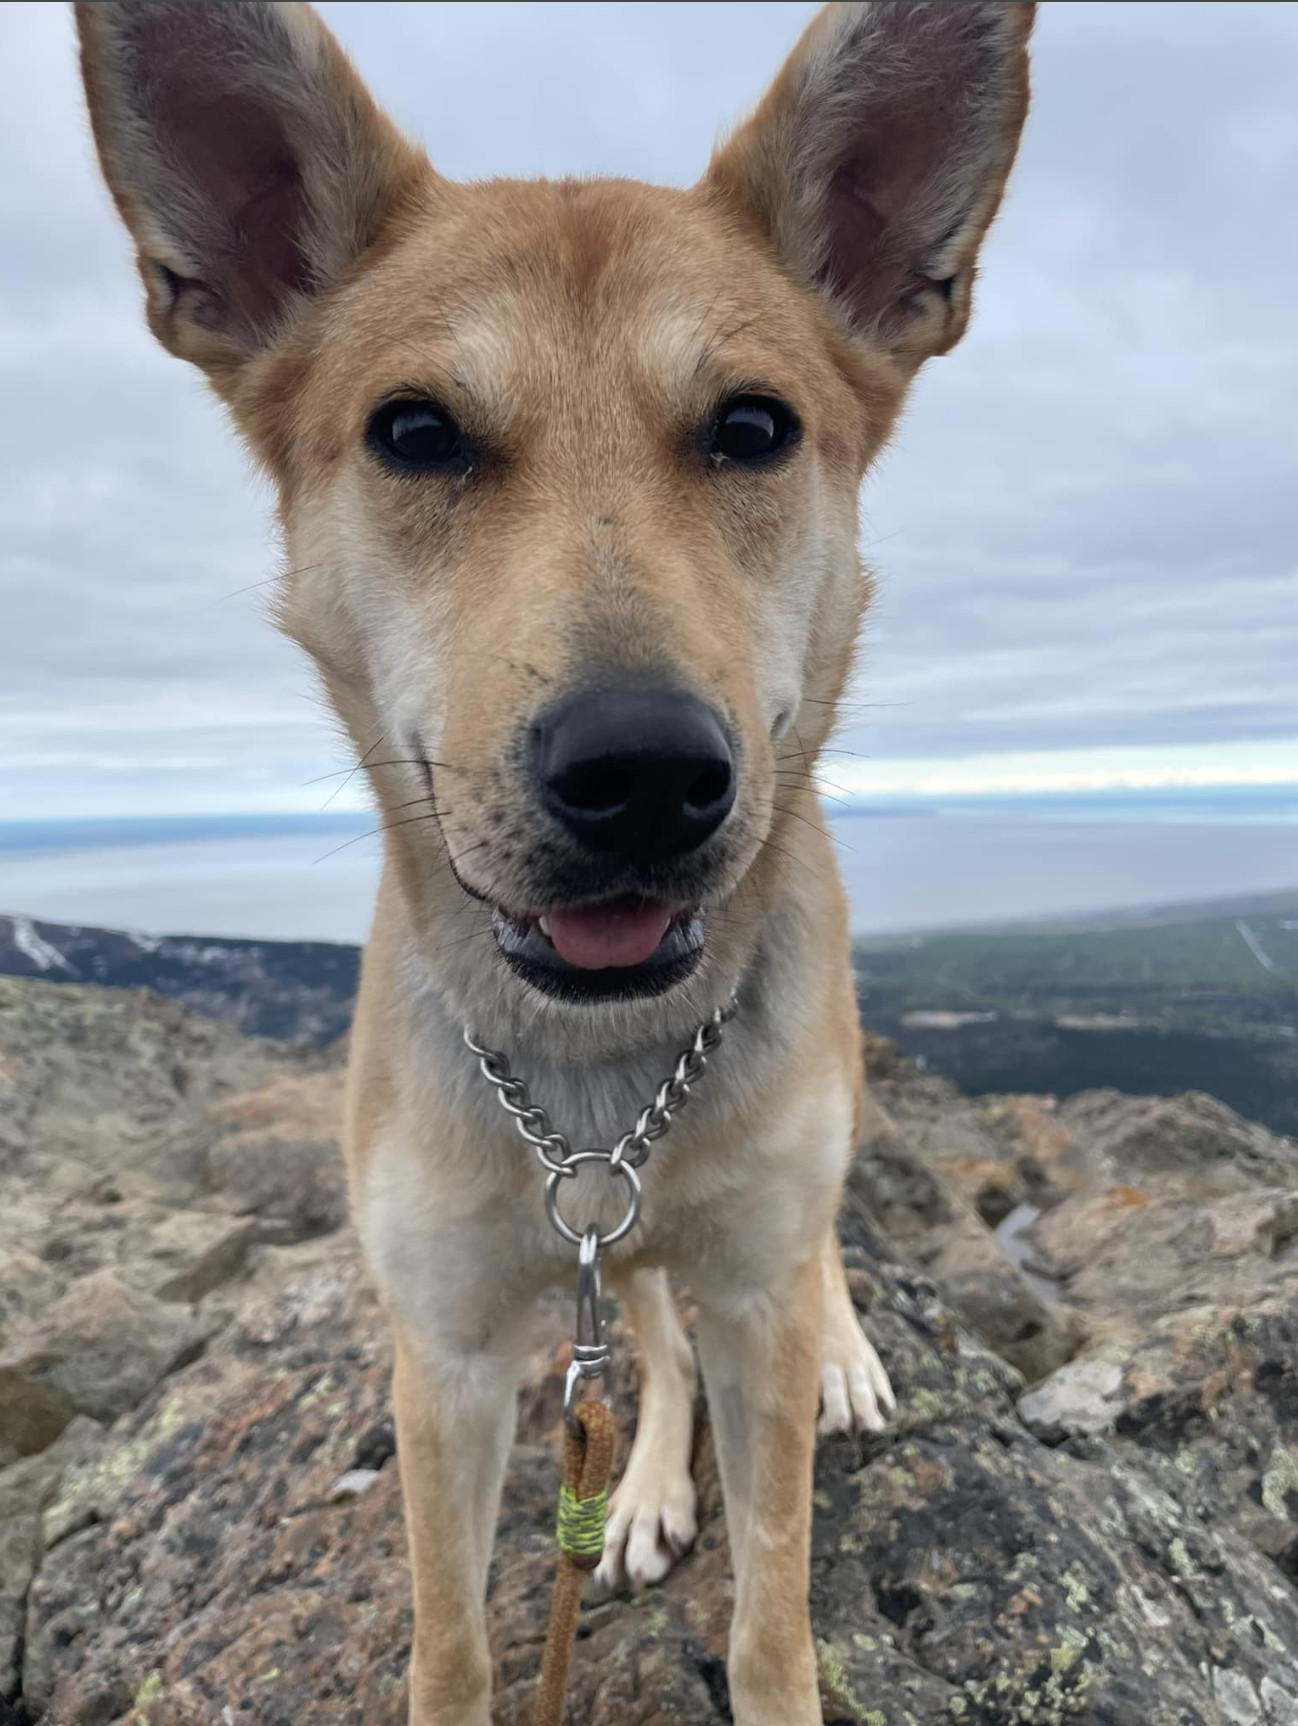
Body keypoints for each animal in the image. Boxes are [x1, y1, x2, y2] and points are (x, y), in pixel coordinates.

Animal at [78, 6, 1035, 1719]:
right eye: (413, 431)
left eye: (752, 427)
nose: (644, 775)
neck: (599, 1080)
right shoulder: (445, 1355)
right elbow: (453, 1640)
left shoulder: (750, 1282)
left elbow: (773, 1607)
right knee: (646, 1335)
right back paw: (643, 1479)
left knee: (801, 1254)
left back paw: (839, 1350)